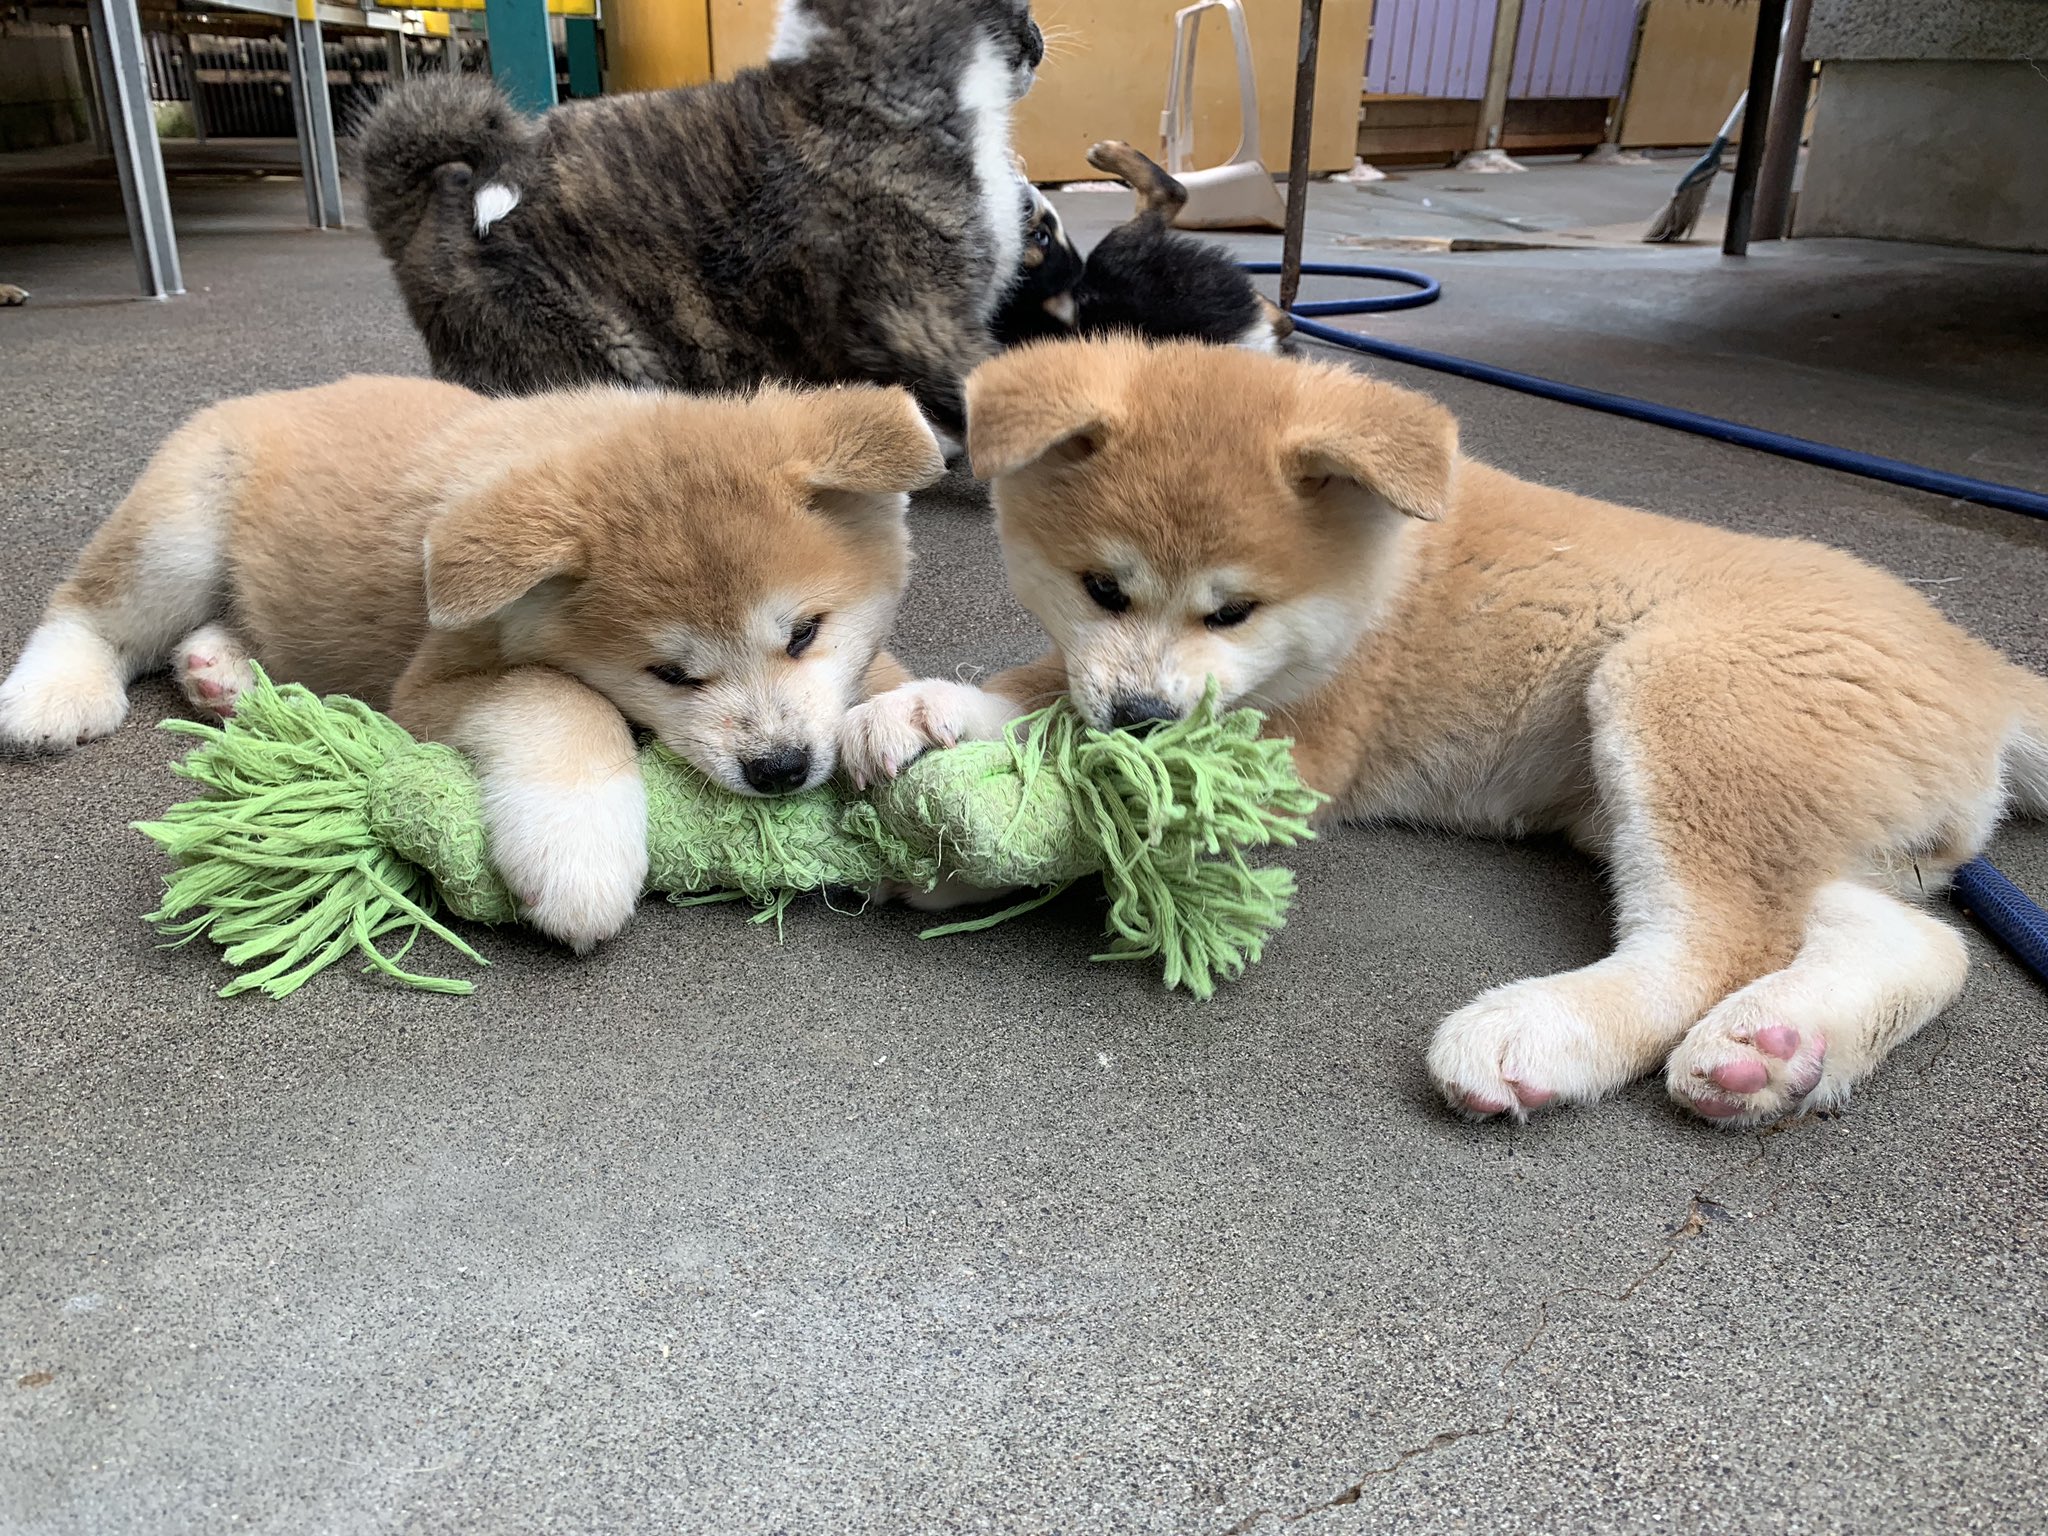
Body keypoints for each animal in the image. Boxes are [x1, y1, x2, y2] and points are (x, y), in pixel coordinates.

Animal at [0, 376, 942, 950]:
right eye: (671, 676)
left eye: (804, 633)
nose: (780, 769)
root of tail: (274, 396)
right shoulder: (428, 686)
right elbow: (556, 694)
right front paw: (579, 845)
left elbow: (880, 673)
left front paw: (910, 712)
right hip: (179, 526)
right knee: (88, 610)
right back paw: (53, 693)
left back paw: (223, 669)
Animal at [839, 339, 2039, 1130]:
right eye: (1101, 587)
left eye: (1233, 612)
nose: (1144, 720)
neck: (1376, 569)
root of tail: (1979, 667)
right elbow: (1051, 686)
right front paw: (932, 710)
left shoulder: (1298, 741)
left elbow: (1097, 761)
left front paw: (964, 837)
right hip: (1778, 805)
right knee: (1912, 940)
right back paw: (1777, 1051)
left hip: (1678, 696)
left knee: (1713, 944)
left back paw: (1544, 1031)